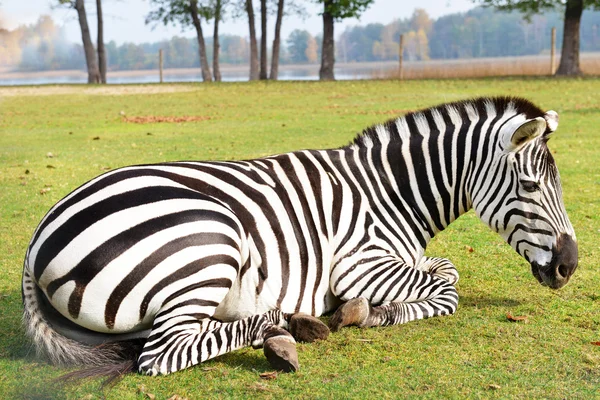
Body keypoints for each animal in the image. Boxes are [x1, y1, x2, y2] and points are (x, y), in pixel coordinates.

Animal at [21, 95, 580, 376]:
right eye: (531, 185)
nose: (570, 266)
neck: (389, 190)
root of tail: (35, 243)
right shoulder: (360, 264)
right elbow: (448, 286)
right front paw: (369, 312)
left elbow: (444, 270)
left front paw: (374, 309)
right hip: (211, 238)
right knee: (161, 354)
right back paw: (286, 328)